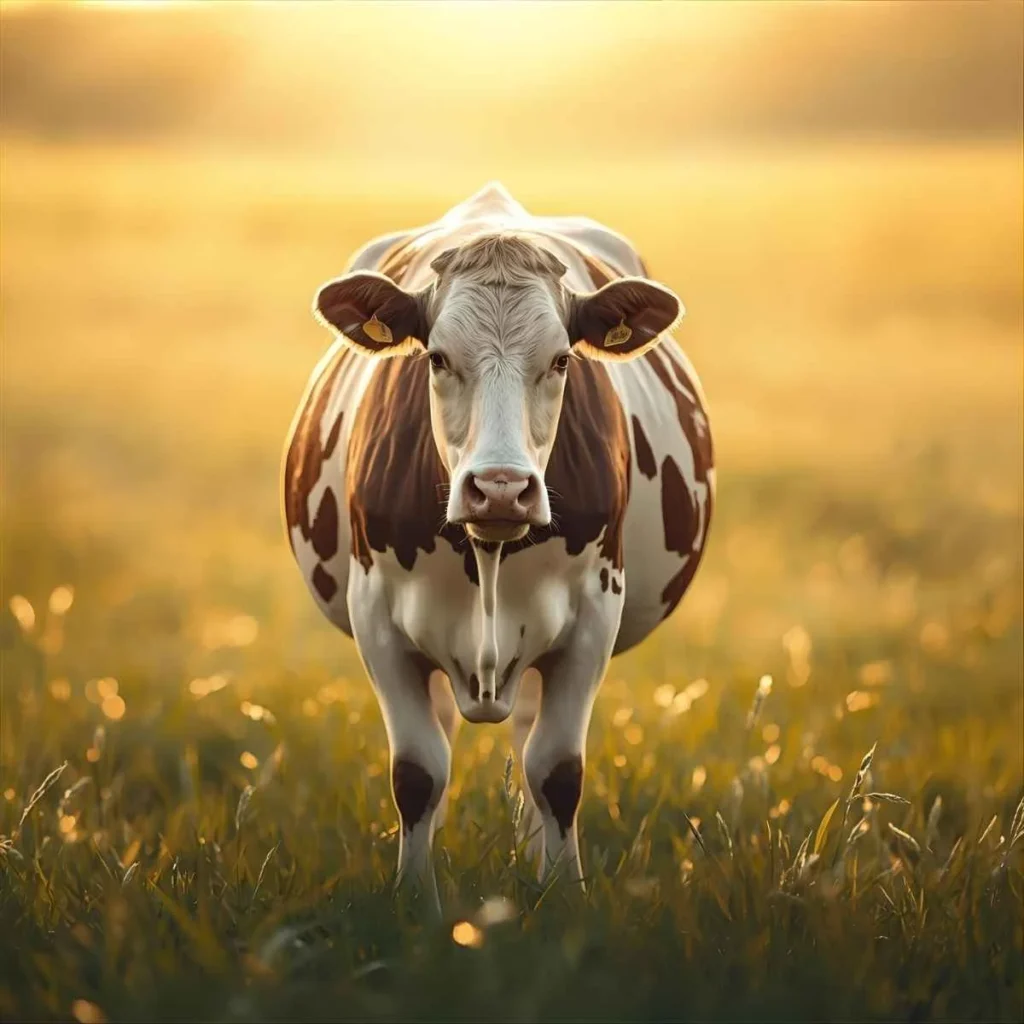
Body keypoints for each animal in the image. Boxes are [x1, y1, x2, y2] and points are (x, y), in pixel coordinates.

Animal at [283, 182, 714, 914]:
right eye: (436, 357)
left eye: (562, 360)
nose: (501, 489)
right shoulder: (376, 619)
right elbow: (418, 772)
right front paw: (414, 902)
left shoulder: (594, 616)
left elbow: (557, 772)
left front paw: (562, 894)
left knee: (529, 738)